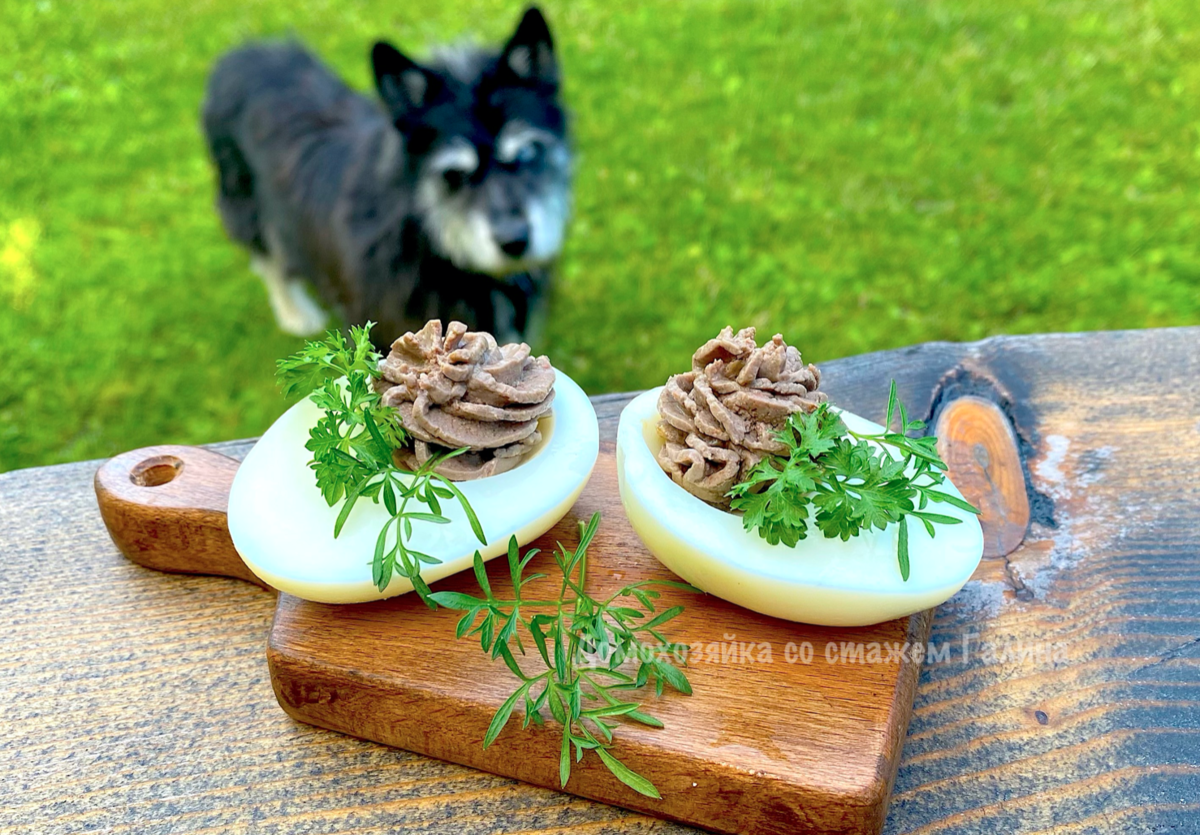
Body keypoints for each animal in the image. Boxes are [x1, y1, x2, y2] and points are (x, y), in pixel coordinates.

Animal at [201, 7, 571, 345]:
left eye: (527, 152)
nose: (515, 241)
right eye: (453, 174)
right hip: (246, 204)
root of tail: (238, 55)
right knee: (269, 260)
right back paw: (296, 313)